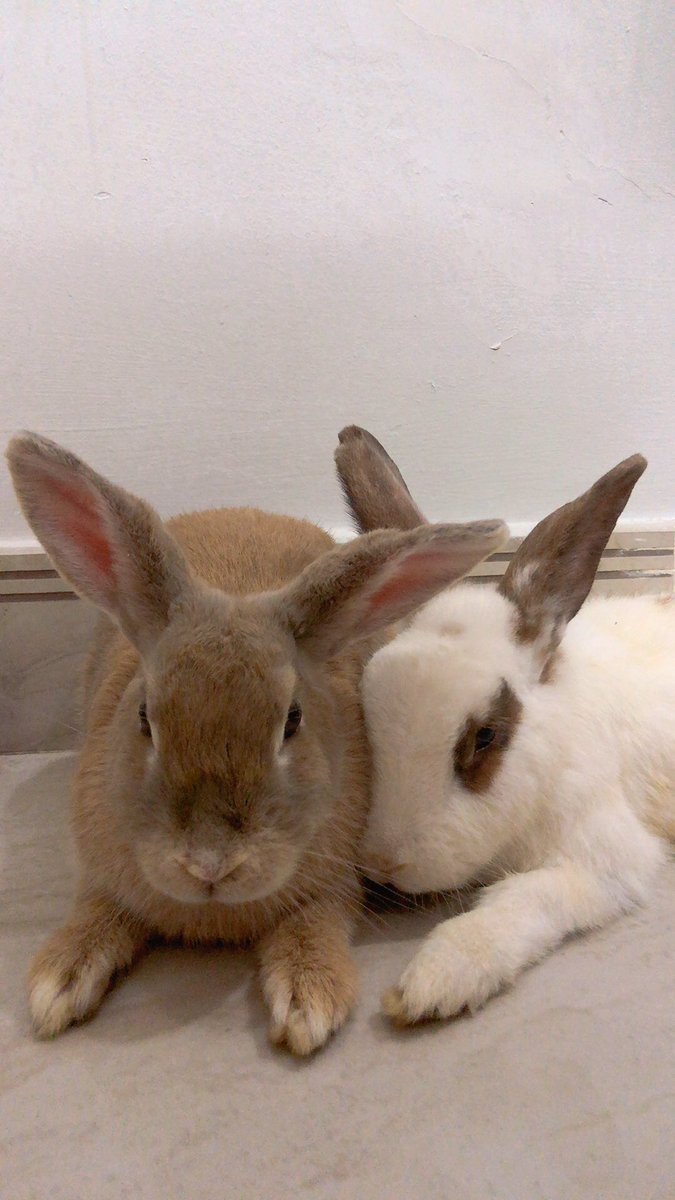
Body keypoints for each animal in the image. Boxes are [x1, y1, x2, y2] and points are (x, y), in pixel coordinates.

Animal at [6, 431, 508, 1054]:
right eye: (144, 715)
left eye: (292, 720)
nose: (209, 864)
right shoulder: (102, 873)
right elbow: (98, 912)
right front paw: (59, 981)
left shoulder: (334, 884)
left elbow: (314, 922)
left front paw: (309, 999)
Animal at [335, 425, 675, 1026]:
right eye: (367, 710)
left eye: (486, 736)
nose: (384, 863)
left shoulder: (608, 861)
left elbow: (521, 900)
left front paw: (433, 983)